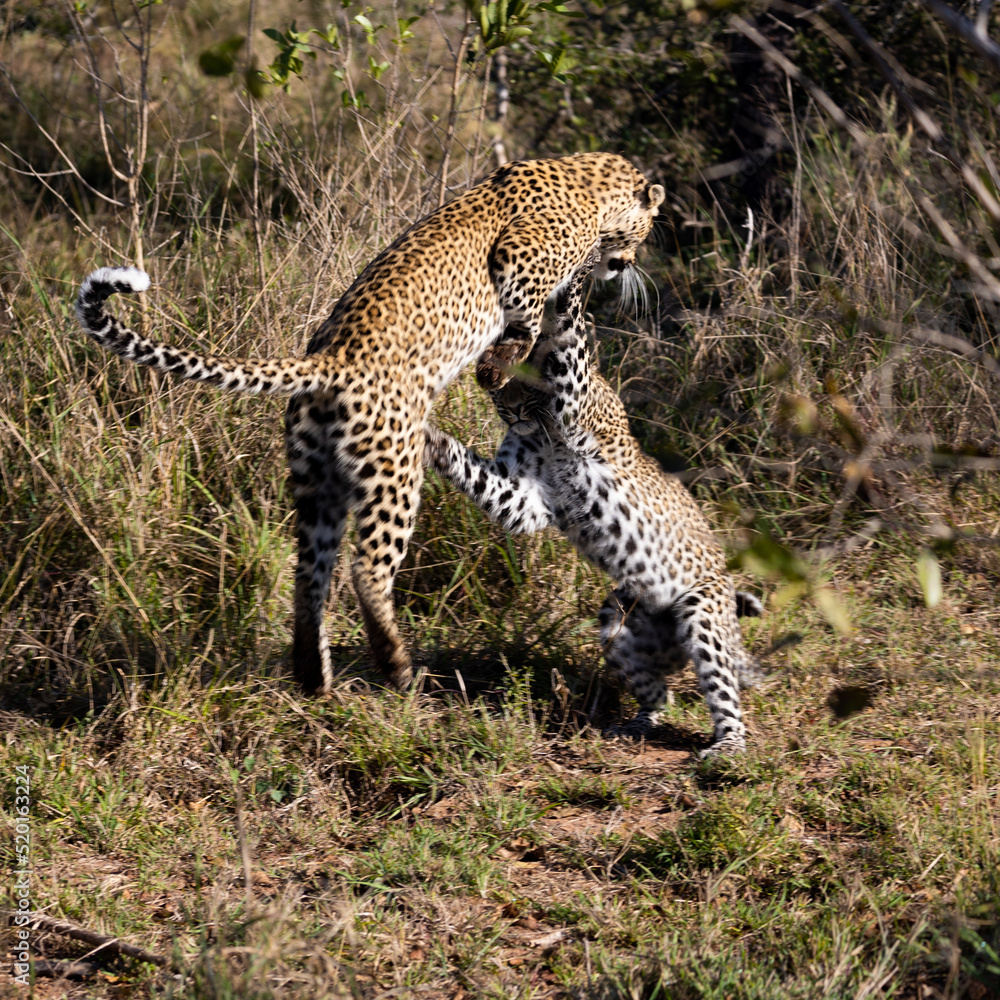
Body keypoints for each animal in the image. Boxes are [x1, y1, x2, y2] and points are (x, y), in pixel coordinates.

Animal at [74, 152, 665, 696]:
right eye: (648, 227)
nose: (626, 264)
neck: (586, 181)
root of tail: (327, 362)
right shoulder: (517, 257)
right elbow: (525, 317)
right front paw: (500, 363)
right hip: (394, 475)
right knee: (367, 569)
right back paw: (397, 666)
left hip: (317, 481)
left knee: (310, 574)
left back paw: (313, 676)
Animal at [424, 258, 763, 756]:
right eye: (499, 389)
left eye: (527, 383)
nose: (511, 410)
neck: (543, 432)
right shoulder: (526, 499)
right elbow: (476, 474)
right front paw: (427, 438)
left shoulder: (573, 396)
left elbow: (569, 335)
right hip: (620, 618)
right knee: (659, 695)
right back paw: (635, 726)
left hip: (704, 611)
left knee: (723, 692)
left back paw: (726, 750)